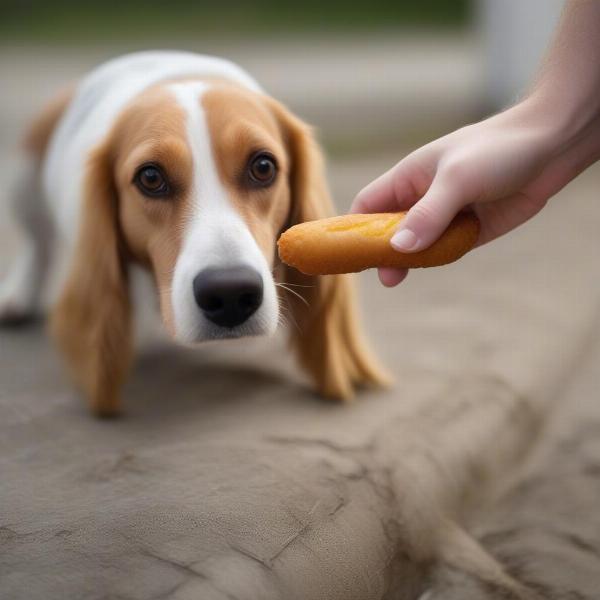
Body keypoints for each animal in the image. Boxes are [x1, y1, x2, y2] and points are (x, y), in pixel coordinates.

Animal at [1, 50, 390, 418]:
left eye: (263, 166)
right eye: (150, 177)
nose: (230, 294)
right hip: (23, 179)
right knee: (38, 244)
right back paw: (17, 295)